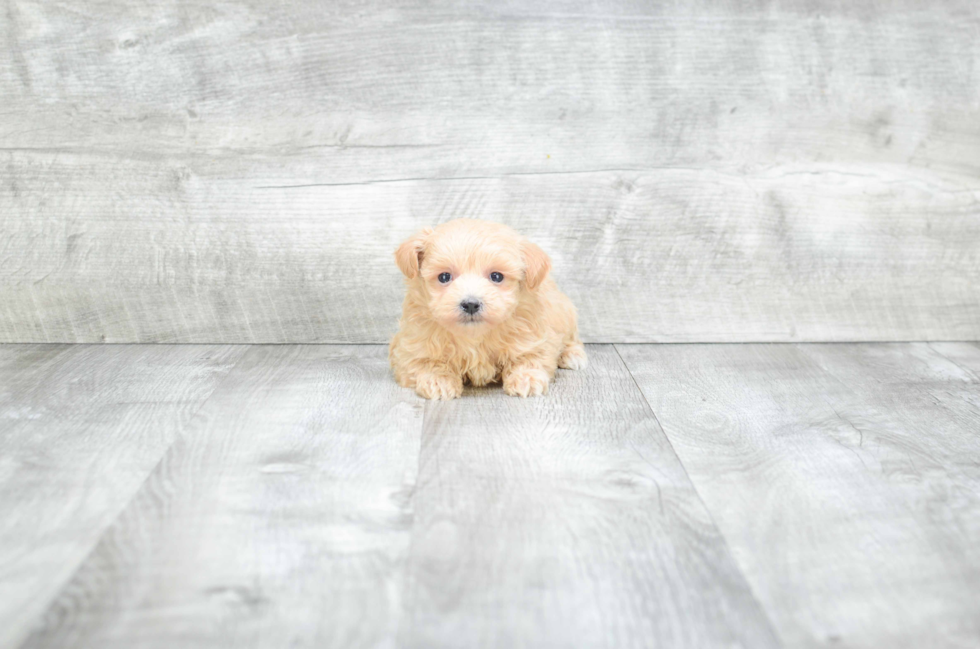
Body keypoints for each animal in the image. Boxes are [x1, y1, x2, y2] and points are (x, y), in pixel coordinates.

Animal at [386, 220, 584, 398]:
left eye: (496, 276)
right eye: (444, 277)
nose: (471, 304)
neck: (474, 336)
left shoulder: (533, 336)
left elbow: (530, 357)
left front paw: (527, 379)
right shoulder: (410, 348)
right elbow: (427, 362)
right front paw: (438, 381)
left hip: (564, 312)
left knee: (571, 338)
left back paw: (572, 354)